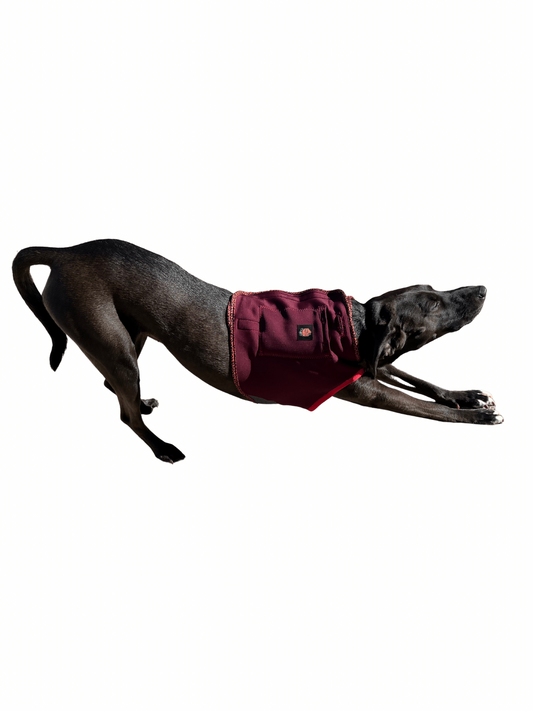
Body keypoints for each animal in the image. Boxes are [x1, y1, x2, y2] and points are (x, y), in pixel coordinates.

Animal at [13, 239, 503, 463]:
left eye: (435, 289)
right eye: (433, 304)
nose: (481, 288)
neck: (358, 328)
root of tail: (65, 252)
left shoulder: (369, 365)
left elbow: (420, 380)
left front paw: (466, 396)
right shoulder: (362, 387)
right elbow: (423, 407)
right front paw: (476, 418)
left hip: (130, 335)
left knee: (113, 387)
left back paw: (145, 404)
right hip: (113, 343)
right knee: (124, 413)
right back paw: (162, 446)